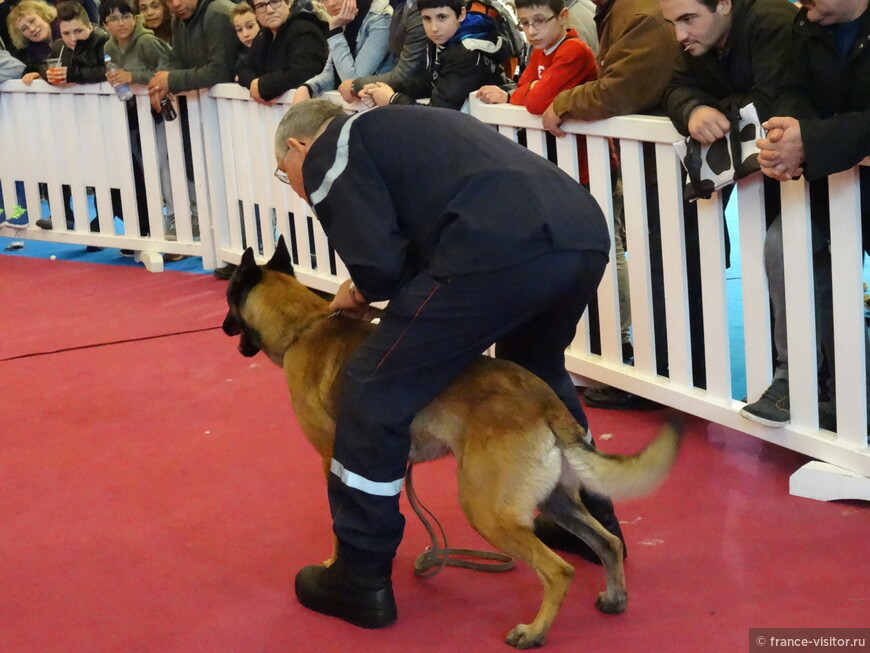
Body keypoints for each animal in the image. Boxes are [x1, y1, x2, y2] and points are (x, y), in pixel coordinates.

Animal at [221, 238, 684, 648]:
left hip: (486, 510)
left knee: (558, 571)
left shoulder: (332, 461)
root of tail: (543, 403)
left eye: (228, 301)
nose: (224, 327)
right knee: (608, 542)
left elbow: (341, 521)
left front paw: (334, 566)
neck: (303, 326)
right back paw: (614, 597)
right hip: (556, 500)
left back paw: (533, 632)